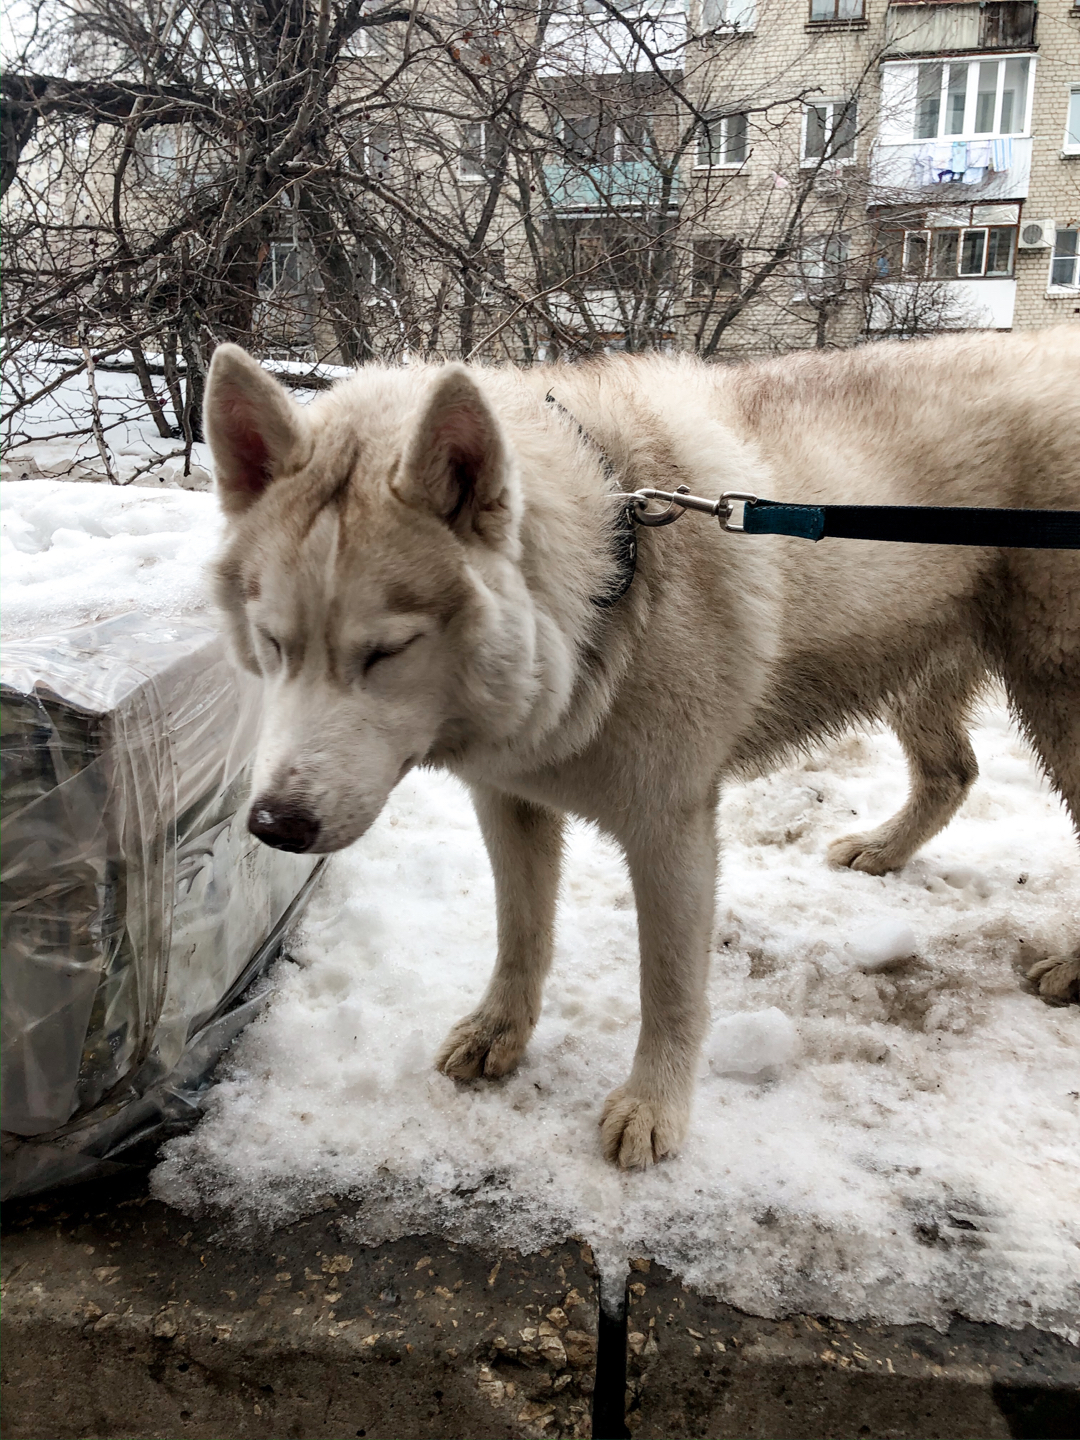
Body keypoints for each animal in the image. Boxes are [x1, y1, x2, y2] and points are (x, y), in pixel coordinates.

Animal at [204, 329, 1080, 1169]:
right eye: (273, 643)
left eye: (387, 651)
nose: (275, 825)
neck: (607, 575)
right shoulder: (508, 800)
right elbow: (521, 935)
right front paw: (500, 1031)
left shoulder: (671, 830)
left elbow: (668, 990)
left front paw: (654, 1106)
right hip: (918, 667)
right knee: (953, 772)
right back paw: (886, 849)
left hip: (1052, 700)